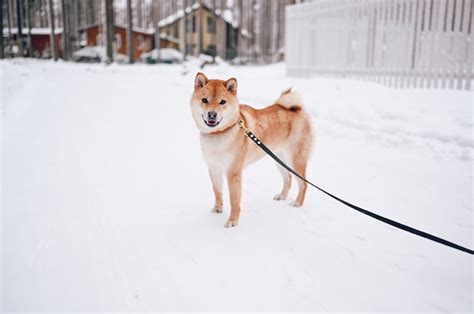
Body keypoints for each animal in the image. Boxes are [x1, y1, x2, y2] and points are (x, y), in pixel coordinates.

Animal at [189, 72, 314, 227]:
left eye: (222, 102)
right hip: (279, 159)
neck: (219, 134)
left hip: (295, 160)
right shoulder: (214, 169)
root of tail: (297, 110)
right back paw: (282, 196)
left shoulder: (233, 173)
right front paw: (218, 208)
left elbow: (234, 201)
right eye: (204, 100)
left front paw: (232, 221)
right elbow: (217, 192)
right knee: (288, 178)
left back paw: (297, 203)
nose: (212, 114)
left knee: (303, 183)